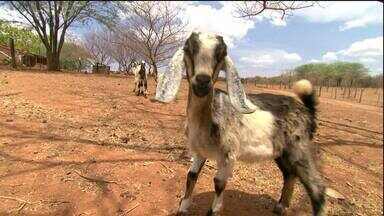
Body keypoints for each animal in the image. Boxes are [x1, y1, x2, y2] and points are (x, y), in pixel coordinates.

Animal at [154, 31, 326, 215]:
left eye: (221, 53)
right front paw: (183, 207)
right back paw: (280, 206)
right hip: (282, 152)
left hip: (299, 147)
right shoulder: (199, 151)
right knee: (290, 174)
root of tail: (308, 111)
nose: (202, 81)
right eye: (189, 48)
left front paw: (213, 210)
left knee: (317, 187)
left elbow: (219, 183)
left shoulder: (229, 154)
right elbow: (191, 176)